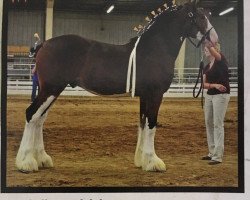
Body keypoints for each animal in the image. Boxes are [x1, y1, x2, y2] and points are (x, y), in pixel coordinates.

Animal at [16, 0, 219, 173]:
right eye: (200, 17)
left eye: (208, 15)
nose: (215, 39)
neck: (154, 50)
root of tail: (43, 44)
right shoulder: (155, 94)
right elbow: (152, 125)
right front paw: (154, 162)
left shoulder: (145, 96)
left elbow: (143, 123)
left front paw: (142, 161)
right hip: (51, 89)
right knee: (32, 114)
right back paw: (26, 163)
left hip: (52, 90)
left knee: (39, 119)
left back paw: (42, 159)